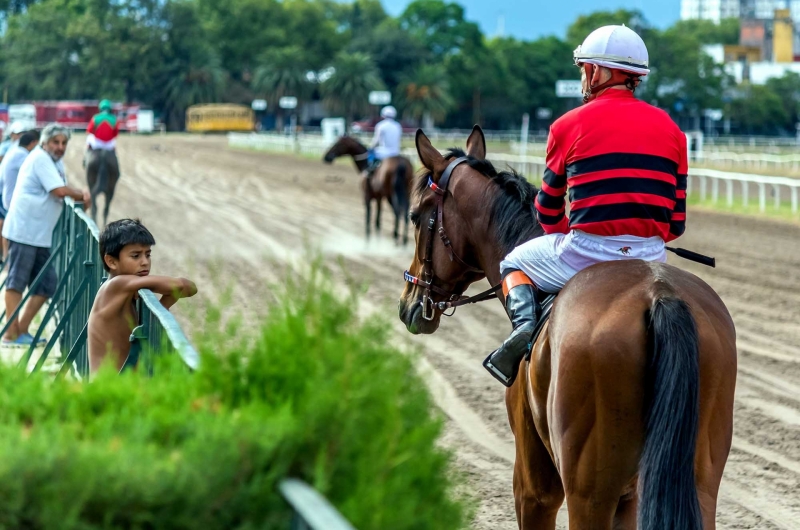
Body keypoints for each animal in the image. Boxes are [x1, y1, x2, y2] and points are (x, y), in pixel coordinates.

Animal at [400, 125, 736, 528]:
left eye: (416, 215)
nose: (408, 304)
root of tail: (660, 294)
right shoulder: (631, 499)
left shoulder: (533, 485)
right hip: (698, 484)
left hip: (589, 490)